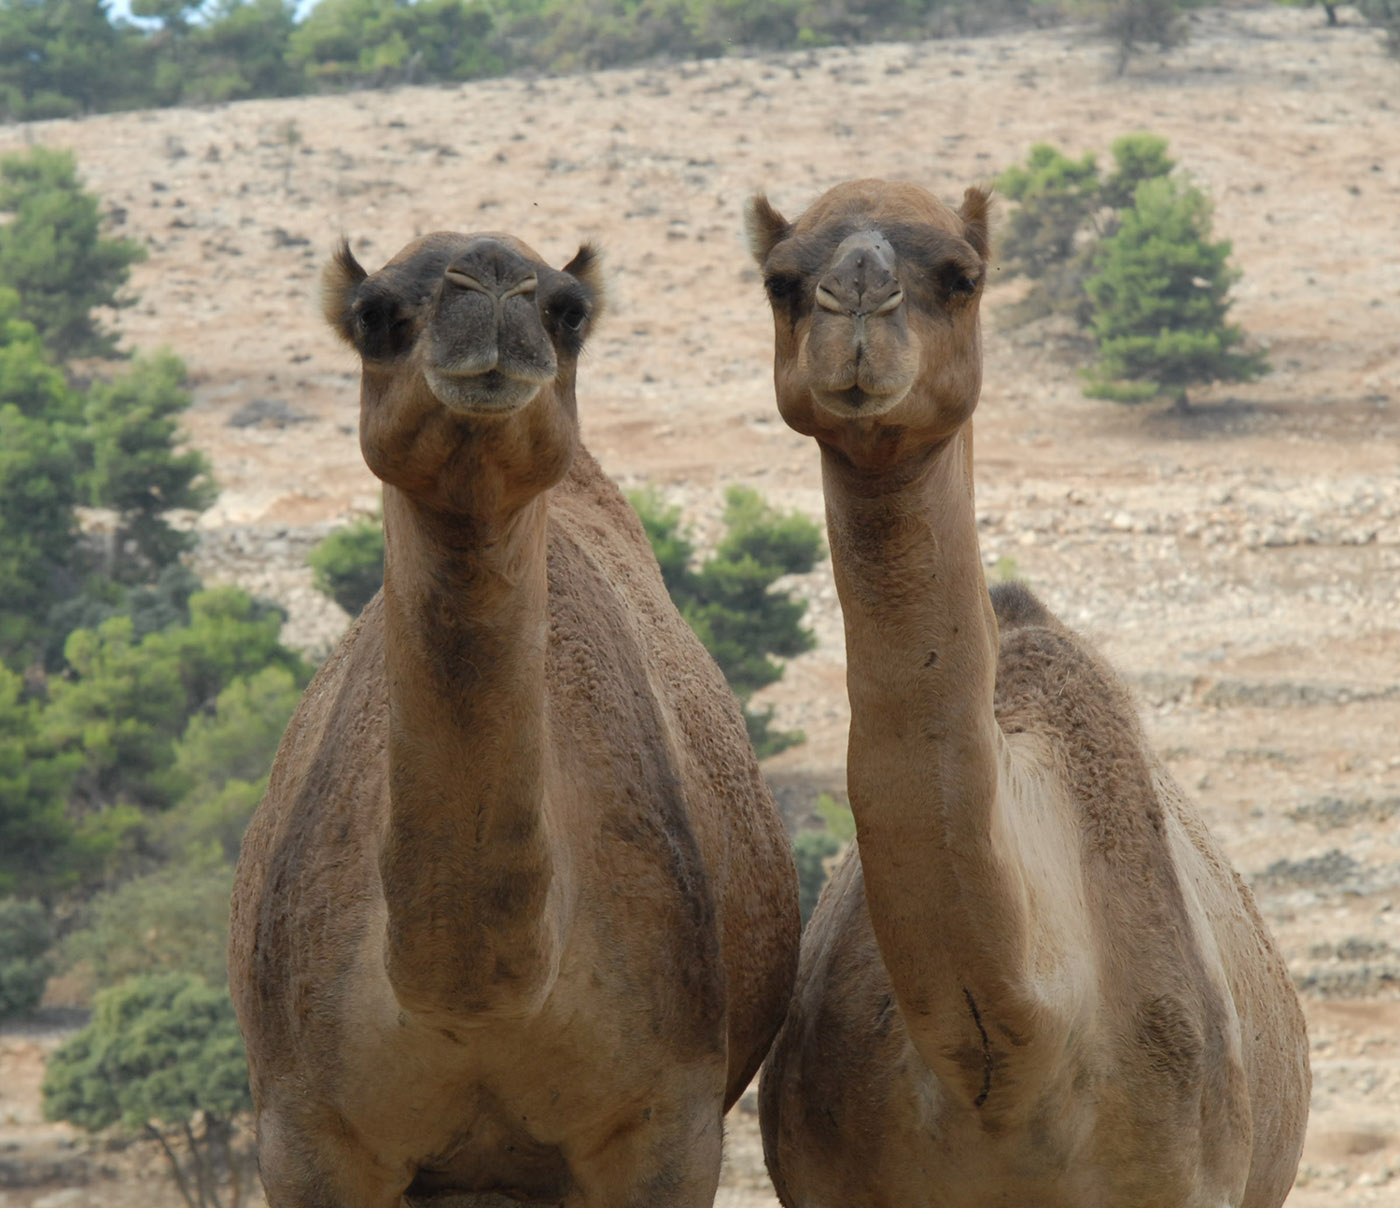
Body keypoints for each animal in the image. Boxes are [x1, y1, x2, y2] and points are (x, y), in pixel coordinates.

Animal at [226, 230, 800, 1208]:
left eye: (568, 312)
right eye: (374, 315)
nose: (491, 283)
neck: (482, 1001)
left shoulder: (665, 1126)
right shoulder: (304, 1134)